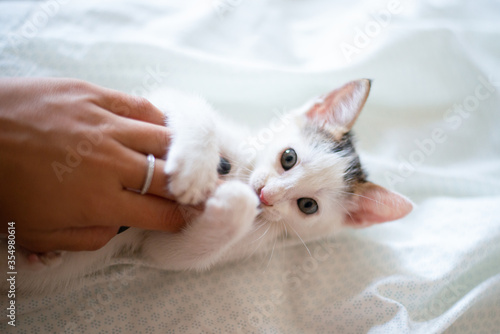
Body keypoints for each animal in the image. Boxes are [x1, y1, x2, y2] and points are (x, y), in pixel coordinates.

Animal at [1, 79, 412, 294]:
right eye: (288, 157)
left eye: (307, 206)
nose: (265, 196)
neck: (244, 168)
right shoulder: (154, 106)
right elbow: (190, 107)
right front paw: (196, 165)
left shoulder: (165, 247)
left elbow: (175, 254)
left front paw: (234, 201)